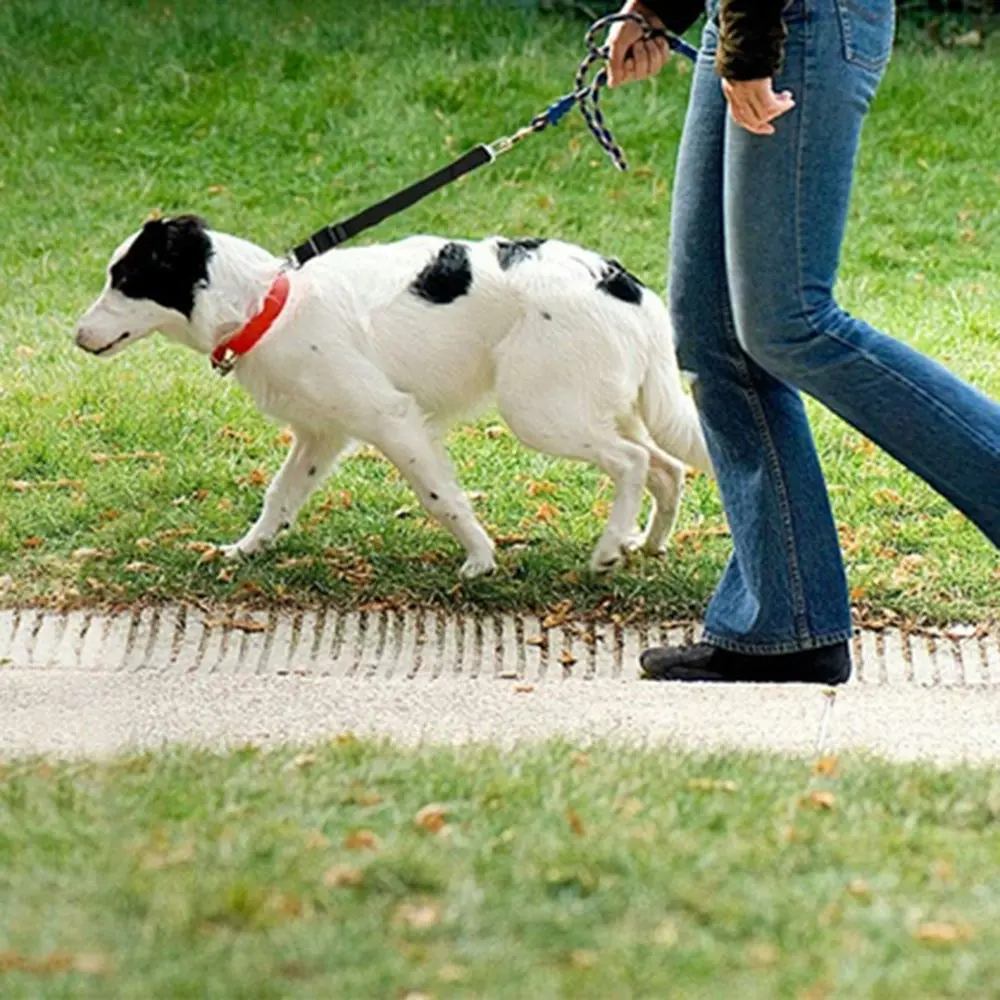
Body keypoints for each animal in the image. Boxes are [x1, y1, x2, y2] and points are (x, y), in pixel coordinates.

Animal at [76, 219, 712, 580]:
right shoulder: (322, 435)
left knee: (634, 462)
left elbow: (440, 499)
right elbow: (280, 497)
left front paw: (481, 560)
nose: (77, 336)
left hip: (540, 411)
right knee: (668, 468)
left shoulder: (392, 420)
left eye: (126, 281)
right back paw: (646, 544)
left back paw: (607, 550)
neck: (268, 304)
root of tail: (622, 282)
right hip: (599, 406)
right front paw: (247, 550)